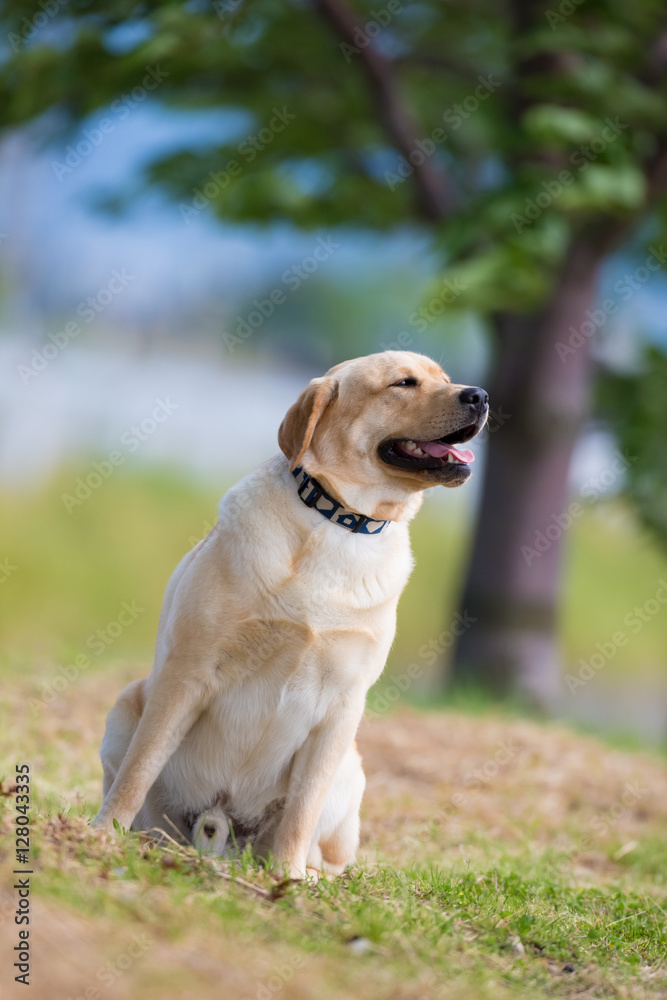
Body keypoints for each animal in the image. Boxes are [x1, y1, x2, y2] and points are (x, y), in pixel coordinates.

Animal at [94, 352, 488, 876]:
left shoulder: (343, 705)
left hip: (350, 769)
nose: (480, 395)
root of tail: (220, 826)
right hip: (128, 703)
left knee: (328, 848)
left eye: (445, 379)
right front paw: (103, 834)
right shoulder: (188, 672)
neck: (339, 520)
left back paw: (313, 874)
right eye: (403, 383)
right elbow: (139, 769)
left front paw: (288, 877)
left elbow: (303, 809)